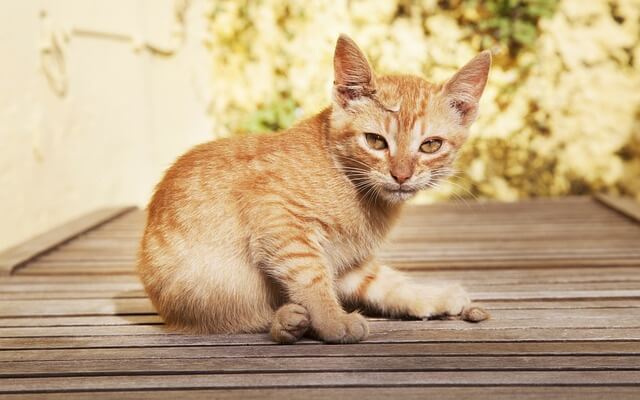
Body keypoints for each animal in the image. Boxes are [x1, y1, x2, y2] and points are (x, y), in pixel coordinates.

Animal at [139, 33, 490, 344]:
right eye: (375, 141)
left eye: (430, 145)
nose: (401, 175)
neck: (350, 182)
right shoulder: (279, 220)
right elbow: (311, 276)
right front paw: (333, 320)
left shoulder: (348, 262)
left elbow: (384, 282)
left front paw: (431, 296)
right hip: (209, 287)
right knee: (236, 318)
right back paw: (287, 321)